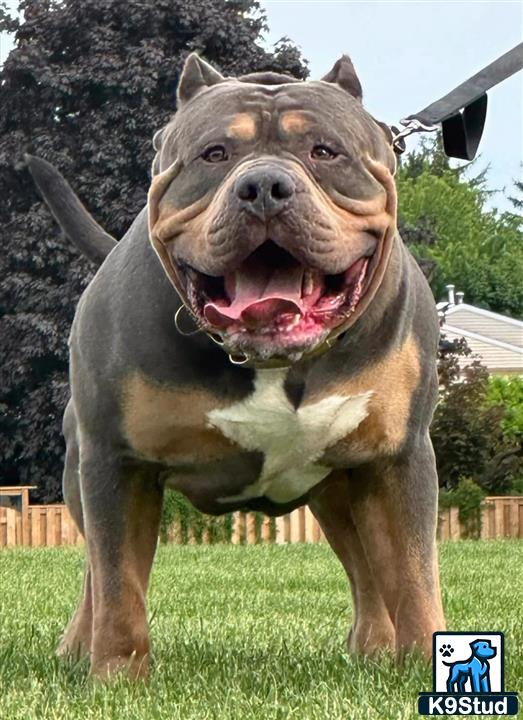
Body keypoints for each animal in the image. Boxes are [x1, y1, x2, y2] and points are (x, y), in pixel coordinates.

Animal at [26, 53, 446, 676]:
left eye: (325, 151)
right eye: (214, 154)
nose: (265, 185)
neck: (274, 359)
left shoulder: (397, 456)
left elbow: (414, 574)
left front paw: (422, 662)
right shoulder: (116, 461)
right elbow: (118, 583)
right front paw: (119, 675)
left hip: (342, 486)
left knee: (368, 568)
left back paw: (375, 646)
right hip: (80, 468)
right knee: (94, 577)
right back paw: (79, 646)